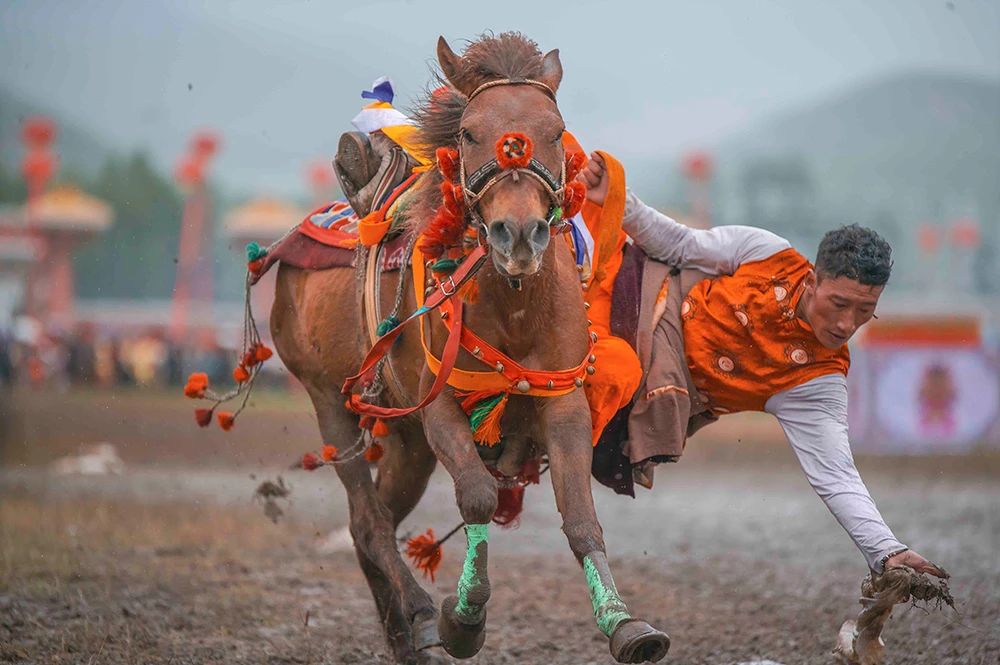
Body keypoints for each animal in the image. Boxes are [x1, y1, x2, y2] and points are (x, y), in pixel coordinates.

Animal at [270, 32, 668, 664]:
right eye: (469, 133)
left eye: (556, 130)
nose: (519, 235)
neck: (513, 305)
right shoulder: (436, 407)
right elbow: (479, 497)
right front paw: (463, 619)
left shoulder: (564, 404)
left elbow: (581, 518)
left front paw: (625, 624)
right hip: (331, 402)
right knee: (369, 519)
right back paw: (420, 615)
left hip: (407, 442)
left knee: (374, 519)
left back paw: (403, 636)